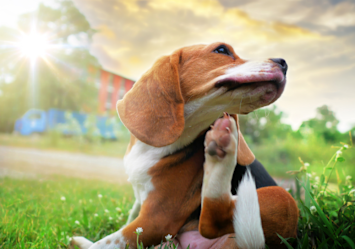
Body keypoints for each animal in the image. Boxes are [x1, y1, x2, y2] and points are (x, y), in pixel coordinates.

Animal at [71, 41, 298, 248]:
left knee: (213, 221)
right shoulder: (140, 204)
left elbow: (105, 243)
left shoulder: (156, 219)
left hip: (282, 197)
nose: (284, 63)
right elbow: (128, 219)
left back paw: (222, 153)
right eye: (222, 50)